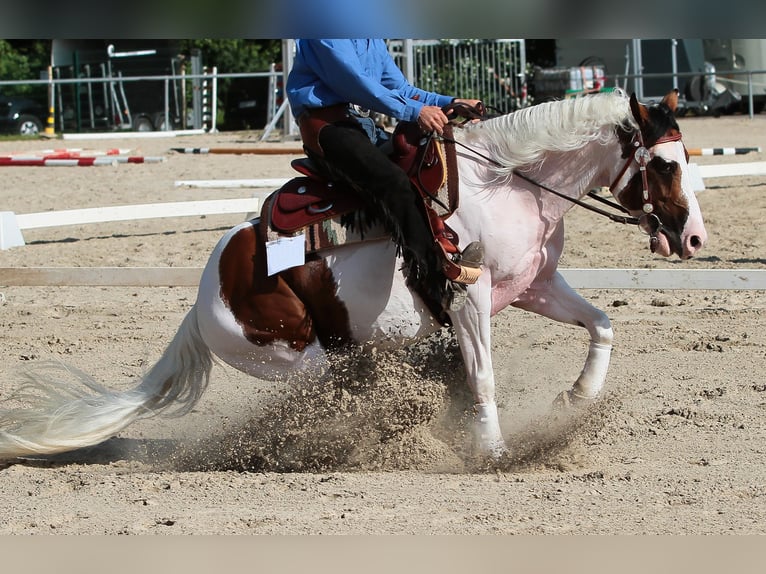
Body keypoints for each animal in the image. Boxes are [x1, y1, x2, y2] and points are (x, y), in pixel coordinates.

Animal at [0, 90, 708, 464]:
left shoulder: (534, 286)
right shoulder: (469, 295)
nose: (694, 237)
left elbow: (602, 323)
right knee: (330, 395)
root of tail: (203, 302)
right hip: (304, 357)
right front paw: (492, 452)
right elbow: (483, 374)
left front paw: (577, 397)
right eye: (664, 164)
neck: (507, 182)